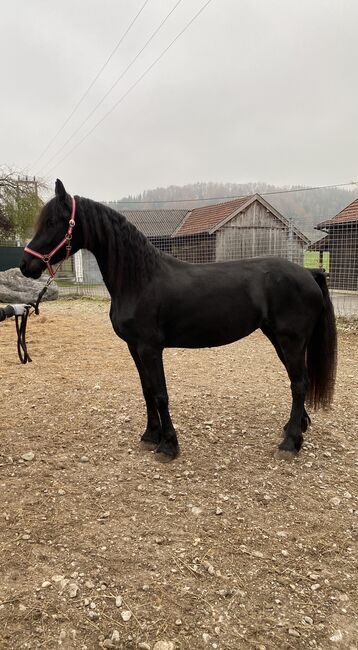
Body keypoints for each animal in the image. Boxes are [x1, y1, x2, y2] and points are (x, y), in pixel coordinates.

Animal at [21, 180, 338, 458]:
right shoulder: (134, 348)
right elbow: (147, 391)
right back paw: (295, 429)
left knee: (299, 383)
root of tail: (309, 273)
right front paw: (150, 435)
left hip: (291, 340)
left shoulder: (150, 348)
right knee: (299, 380)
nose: (26, 266)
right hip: (279, 339)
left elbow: (161, 394)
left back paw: (290, 443)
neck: (140, 280)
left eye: (54, 222)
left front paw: (168, 446)